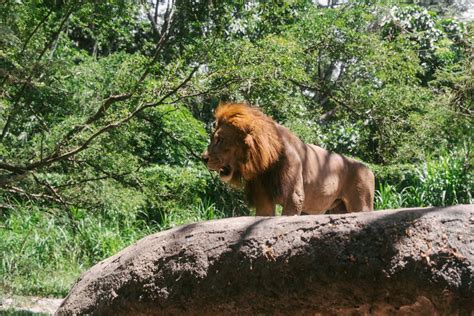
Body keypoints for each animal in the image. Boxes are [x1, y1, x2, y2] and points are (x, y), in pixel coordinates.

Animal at [202, 102, 376, 216]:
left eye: (219, 140)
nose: (203, 158)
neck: (267, 162)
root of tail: (369, 169)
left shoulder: (294, 196)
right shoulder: (263, 197)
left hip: (362, 204)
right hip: (339, 208)